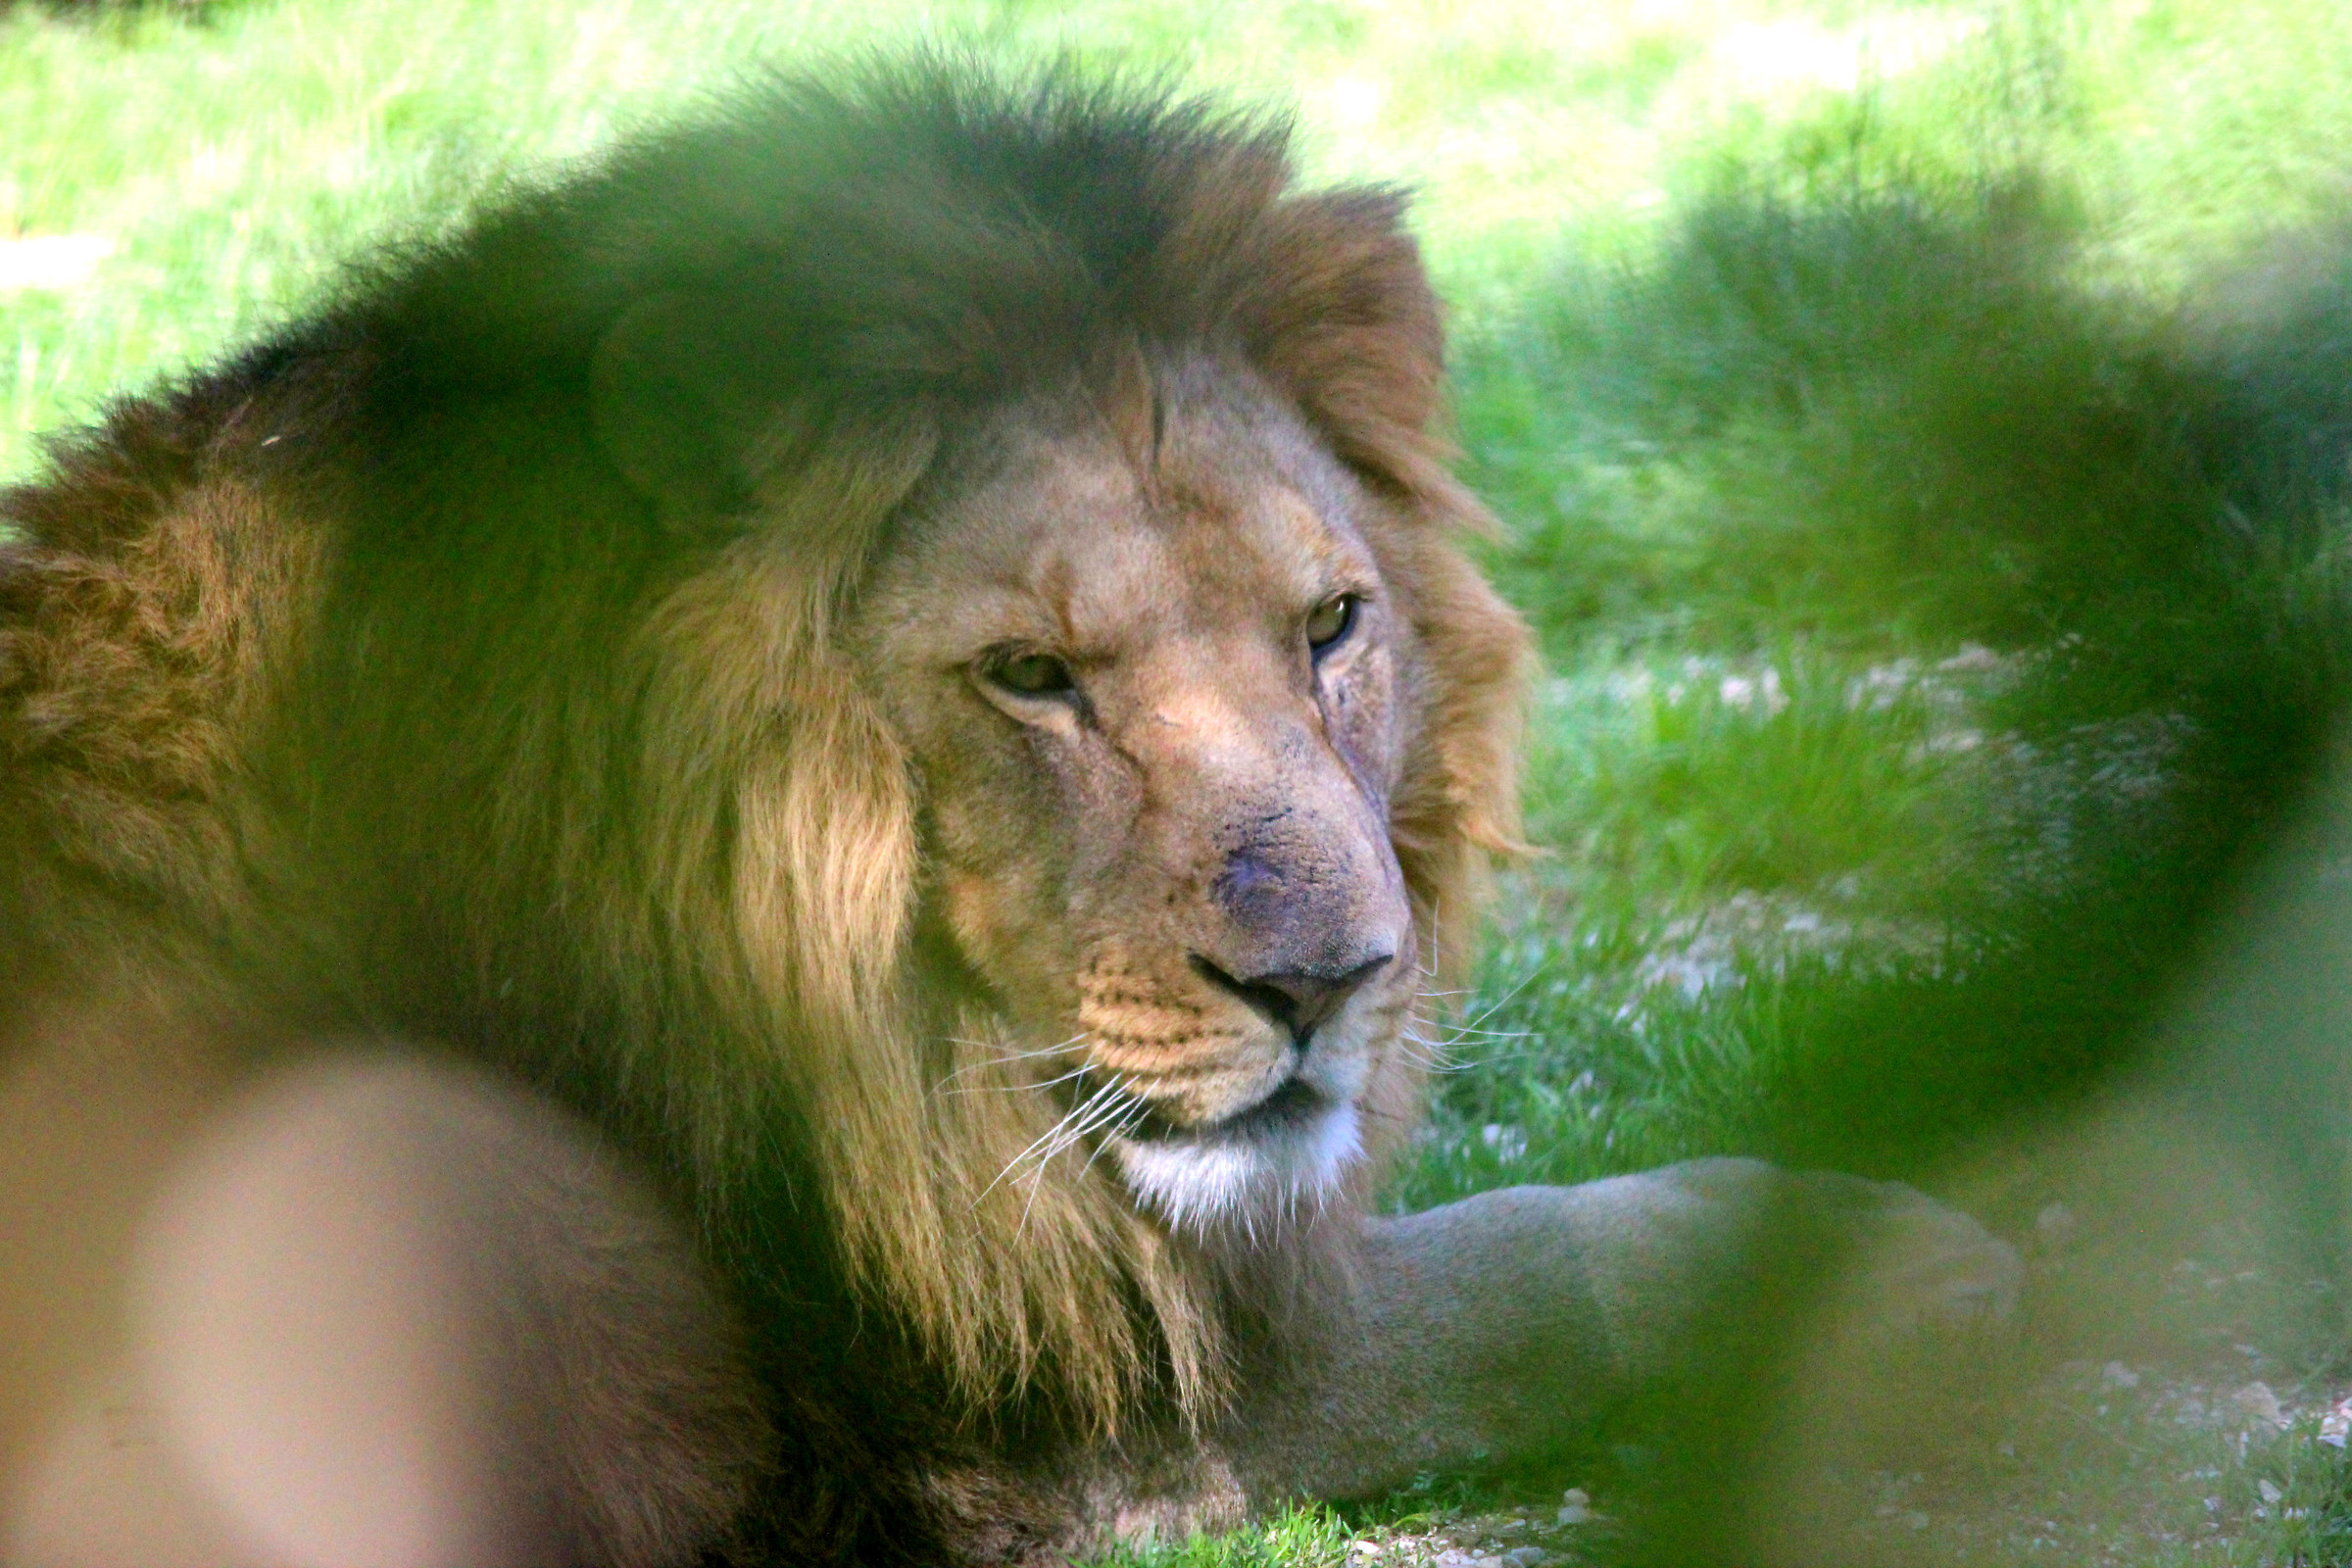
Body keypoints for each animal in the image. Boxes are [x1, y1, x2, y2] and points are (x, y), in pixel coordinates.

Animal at [0, 59, 2019, 1567]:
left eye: (1331, 626)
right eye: (1032, 676)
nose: (1330, 986)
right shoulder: (1015, 1418)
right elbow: (1528, 1269)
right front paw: (1895, 1259)